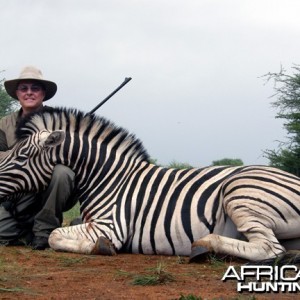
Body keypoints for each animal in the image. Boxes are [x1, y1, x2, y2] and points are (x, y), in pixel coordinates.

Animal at [0, 107, 298, 262]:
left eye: (21, 157)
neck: (109, 178)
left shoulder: (111, 225)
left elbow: (54, 235)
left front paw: (100, 247)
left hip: (240, 192)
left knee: (269, 249)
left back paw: (204, 245)